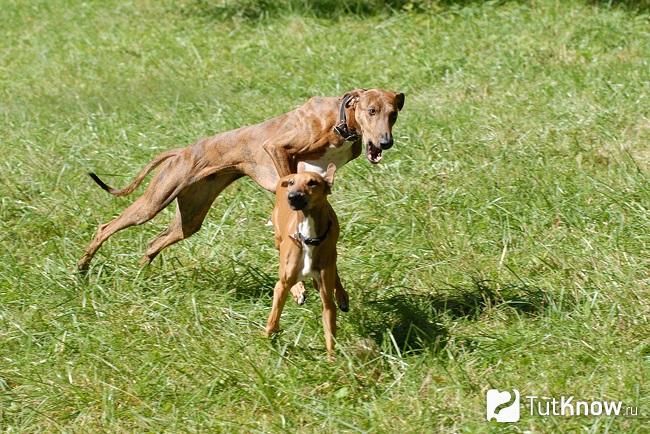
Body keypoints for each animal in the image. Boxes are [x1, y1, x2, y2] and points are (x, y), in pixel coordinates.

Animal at [78, 88, 402, 294]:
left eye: (393, 114)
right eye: (371, 111)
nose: (385, 142)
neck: (340, 120)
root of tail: (181, 152)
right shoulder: (277, 149)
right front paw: (298, 289)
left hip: (189, 219)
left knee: (152, 243)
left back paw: (139, 276)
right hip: (153, 202)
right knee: (106, 227)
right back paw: (82, 268)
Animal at [266, 164, 342, 358]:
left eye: (312, 182)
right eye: (292, 183)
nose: (293, 196)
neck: (309, 238)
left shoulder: (327, 297)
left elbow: (330, 325)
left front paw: (332, 359)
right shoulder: (282, 283)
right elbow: (273, 317)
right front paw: (265, 341)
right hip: (279, 240)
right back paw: (298, 289)